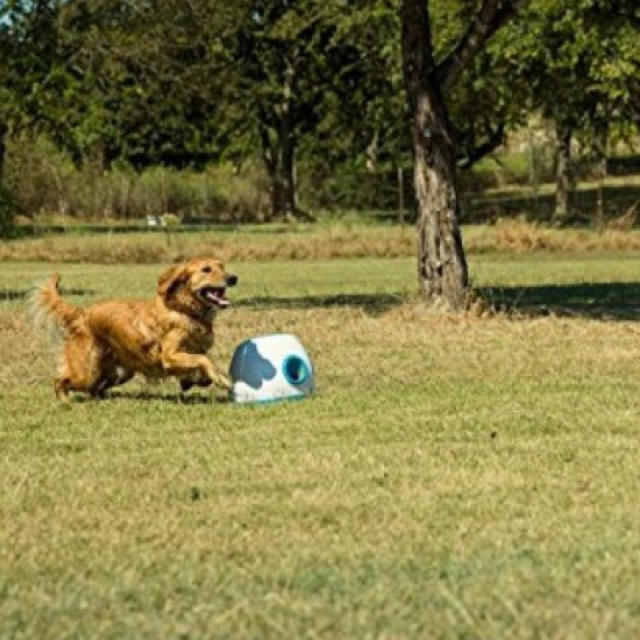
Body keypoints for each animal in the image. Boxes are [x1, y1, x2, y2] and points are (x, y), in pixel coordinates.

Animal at [33, 256, 238, 400]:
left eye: (222, 266)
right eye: (206, 269)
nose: (233, 278)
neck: (185, 310)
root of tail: (81, 314)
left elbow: (200, 365)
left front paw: (195, 380)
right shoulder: (169, 356)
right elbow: (204, 359)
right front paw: (221, 379)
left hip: (119, 373)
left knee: (95, 388)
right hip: (86, 372)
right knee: (61, 381)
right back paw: (65, 401)